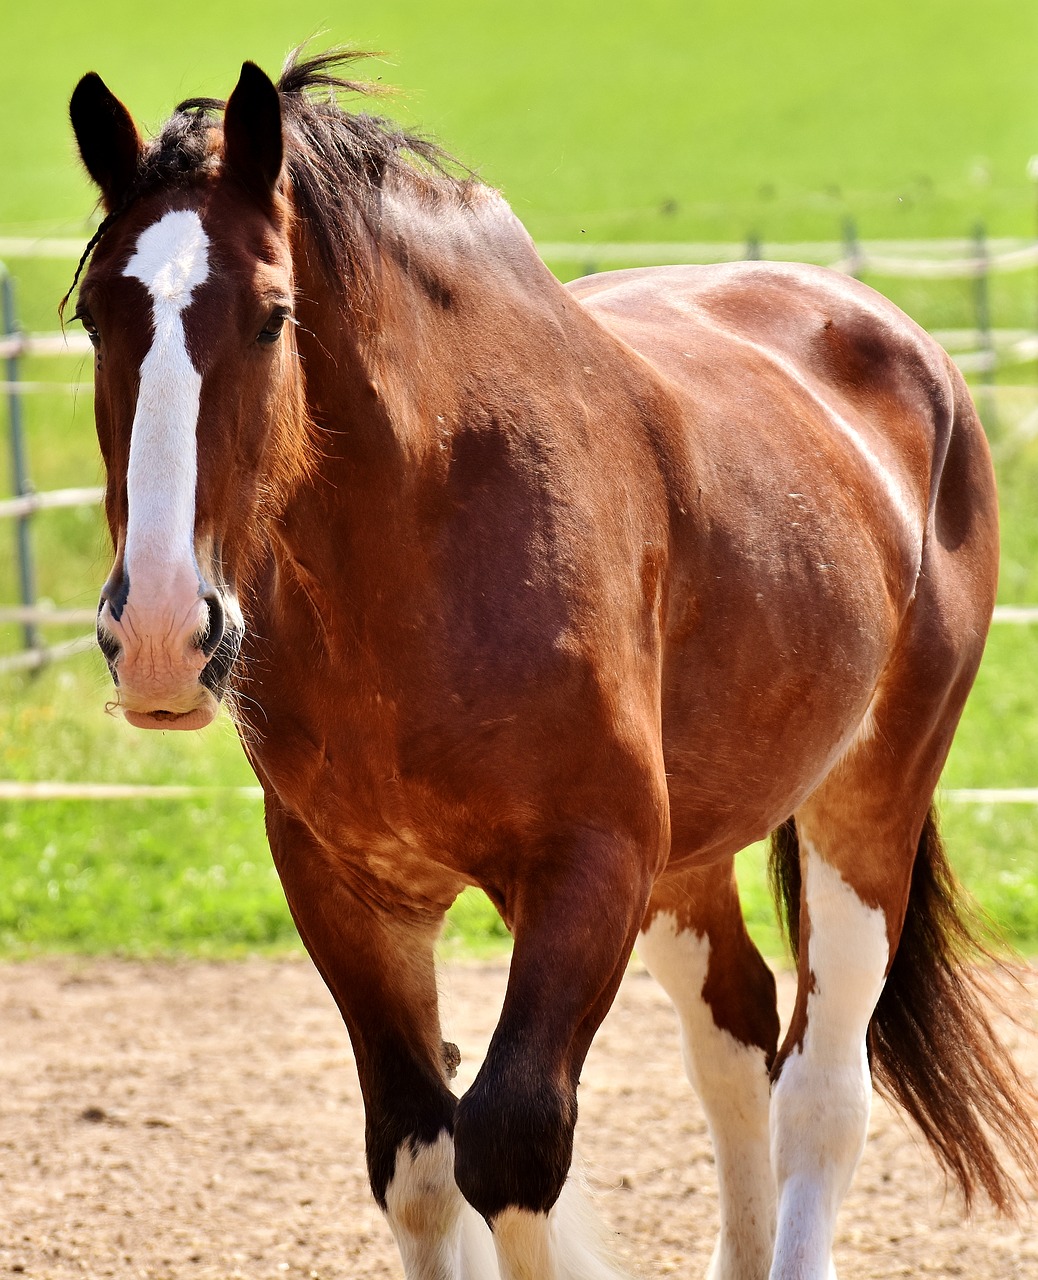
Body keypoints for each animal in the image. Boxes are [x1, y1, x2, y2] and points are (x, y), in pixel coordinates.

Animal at [66, 49, 1038, 1280]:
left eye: (273, 317)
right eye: (95, 317)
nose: (157, 633)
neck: (420, 543)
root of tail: (908, 348)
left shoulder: (591, 864)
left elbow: (512, 1143)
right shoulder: (347, 886)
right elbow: (418, 1156)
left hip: (867, 804)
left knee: (821, 1087)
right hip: (687, 856)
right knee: (734, 1032)